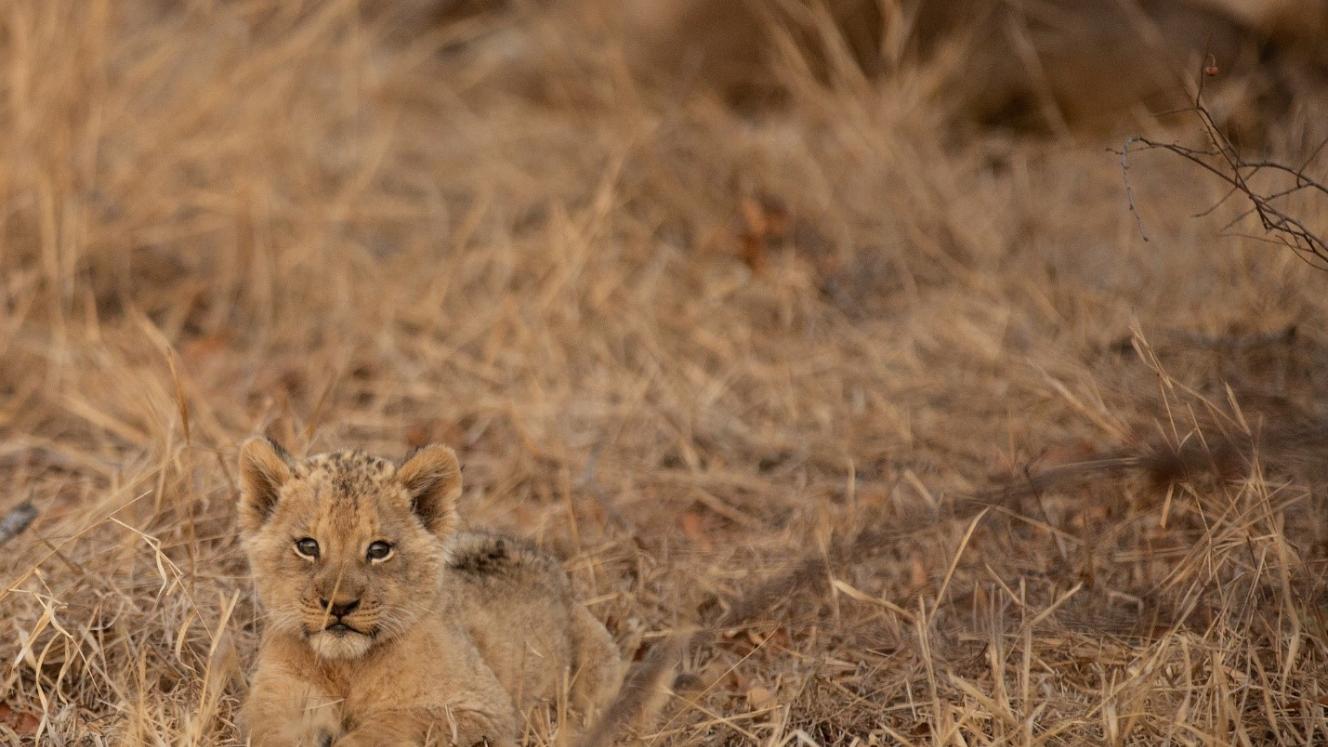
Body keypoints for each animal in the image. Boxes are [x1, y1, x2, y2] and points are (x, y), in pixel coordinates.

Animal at [235, 438, 623, 746]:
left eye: (379, 550)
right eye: (308, 546)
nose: (340, 606)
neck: (348, 670)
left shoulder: (483, 710)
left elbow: (393, 725)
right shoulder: (275, 699)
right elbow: (272, 732)